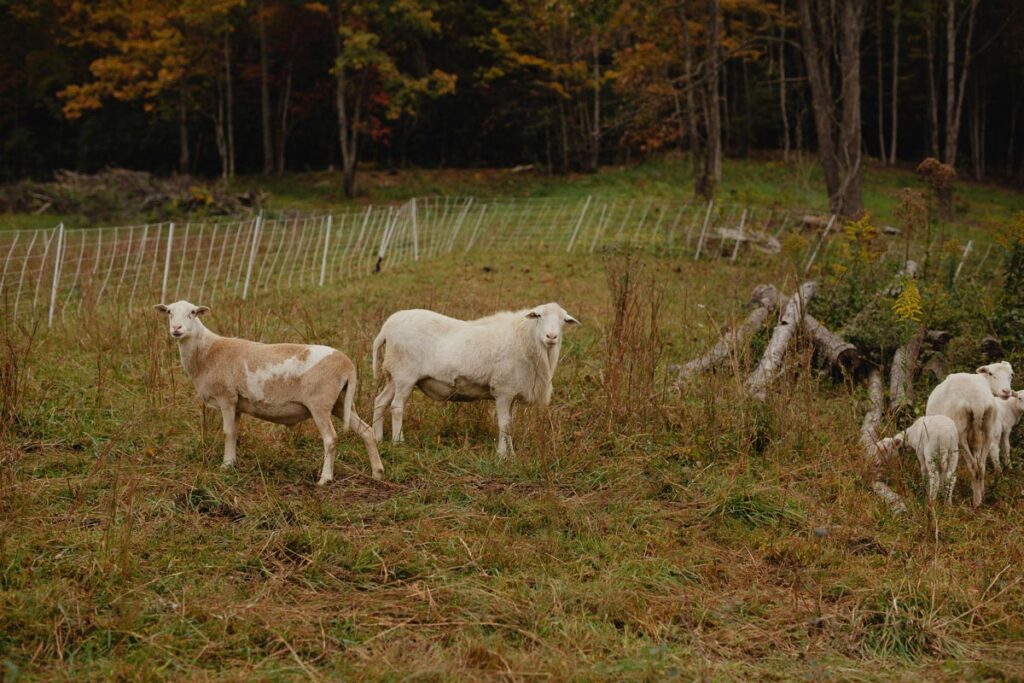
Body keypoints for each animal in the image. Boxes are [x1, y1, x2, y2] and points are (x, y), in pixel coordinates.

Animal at [155, 301, 385, 485]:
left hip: (320, 403)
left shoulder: (227, 397)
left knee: (331, 439)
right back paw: (377, 472)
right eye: (169, 312)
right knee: (366, 431)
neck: (208, 352)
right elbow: (235, 433)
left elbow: (227, 432)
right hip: (341, 402)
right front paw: (233, 463)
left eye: (193, 312)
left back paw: (325, 479)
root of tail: (348, 366)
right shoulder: (238, 404)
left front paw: (225, 466)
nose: (176, 329)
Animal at [370, 303, 581, 454]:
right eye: (539, 316)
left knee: (380, 401)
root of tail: (386, 328)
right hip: (405, 375)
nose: (551, 336)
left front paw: (511, 453)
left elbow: (509, 424)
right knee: (397, 407)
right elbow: (504, 424)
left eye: (563, 320)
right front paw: (502, 455)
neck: (526, 340)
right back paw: (398, 442)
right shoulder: (503, 390)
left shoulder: (511, 392)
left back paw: (377, 438)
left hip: (394, 375)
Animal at [925, 362, 1011, 507]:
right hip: (988, 429)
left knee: (973, 467)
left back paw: (975, 502)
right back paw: (981, 497)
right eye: (991, 373)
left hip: (960, 434)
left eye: (1011, 375)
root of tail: (977, 401)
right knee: (981, 466)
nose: (1006, 391)